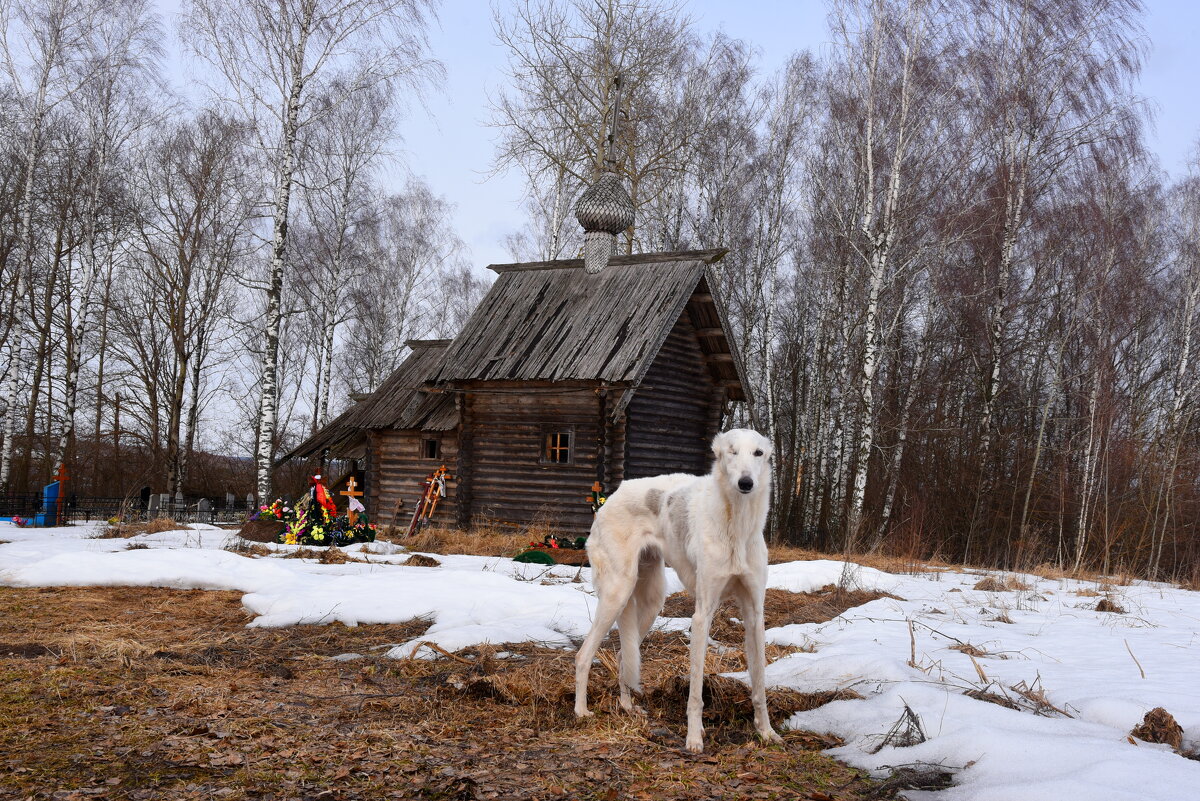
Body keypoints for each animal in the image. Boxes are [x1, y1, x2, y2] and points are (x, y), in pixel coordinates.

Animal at [576, 429, 782, 753]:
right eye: (732, 452)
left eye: (758, 453)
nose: (746, 483)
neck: (736, 524)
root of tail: (613, 495)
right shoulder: (702, 614)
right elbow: (696, 689)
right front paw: (694, 737)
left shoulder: (754, 615)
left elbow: (759, 682)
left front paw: (766, 732)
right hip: (617, 592)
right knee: (583, 656)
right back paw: (580, 711)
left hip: (651, 601)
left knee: (624, 655)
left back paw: (627, 706)